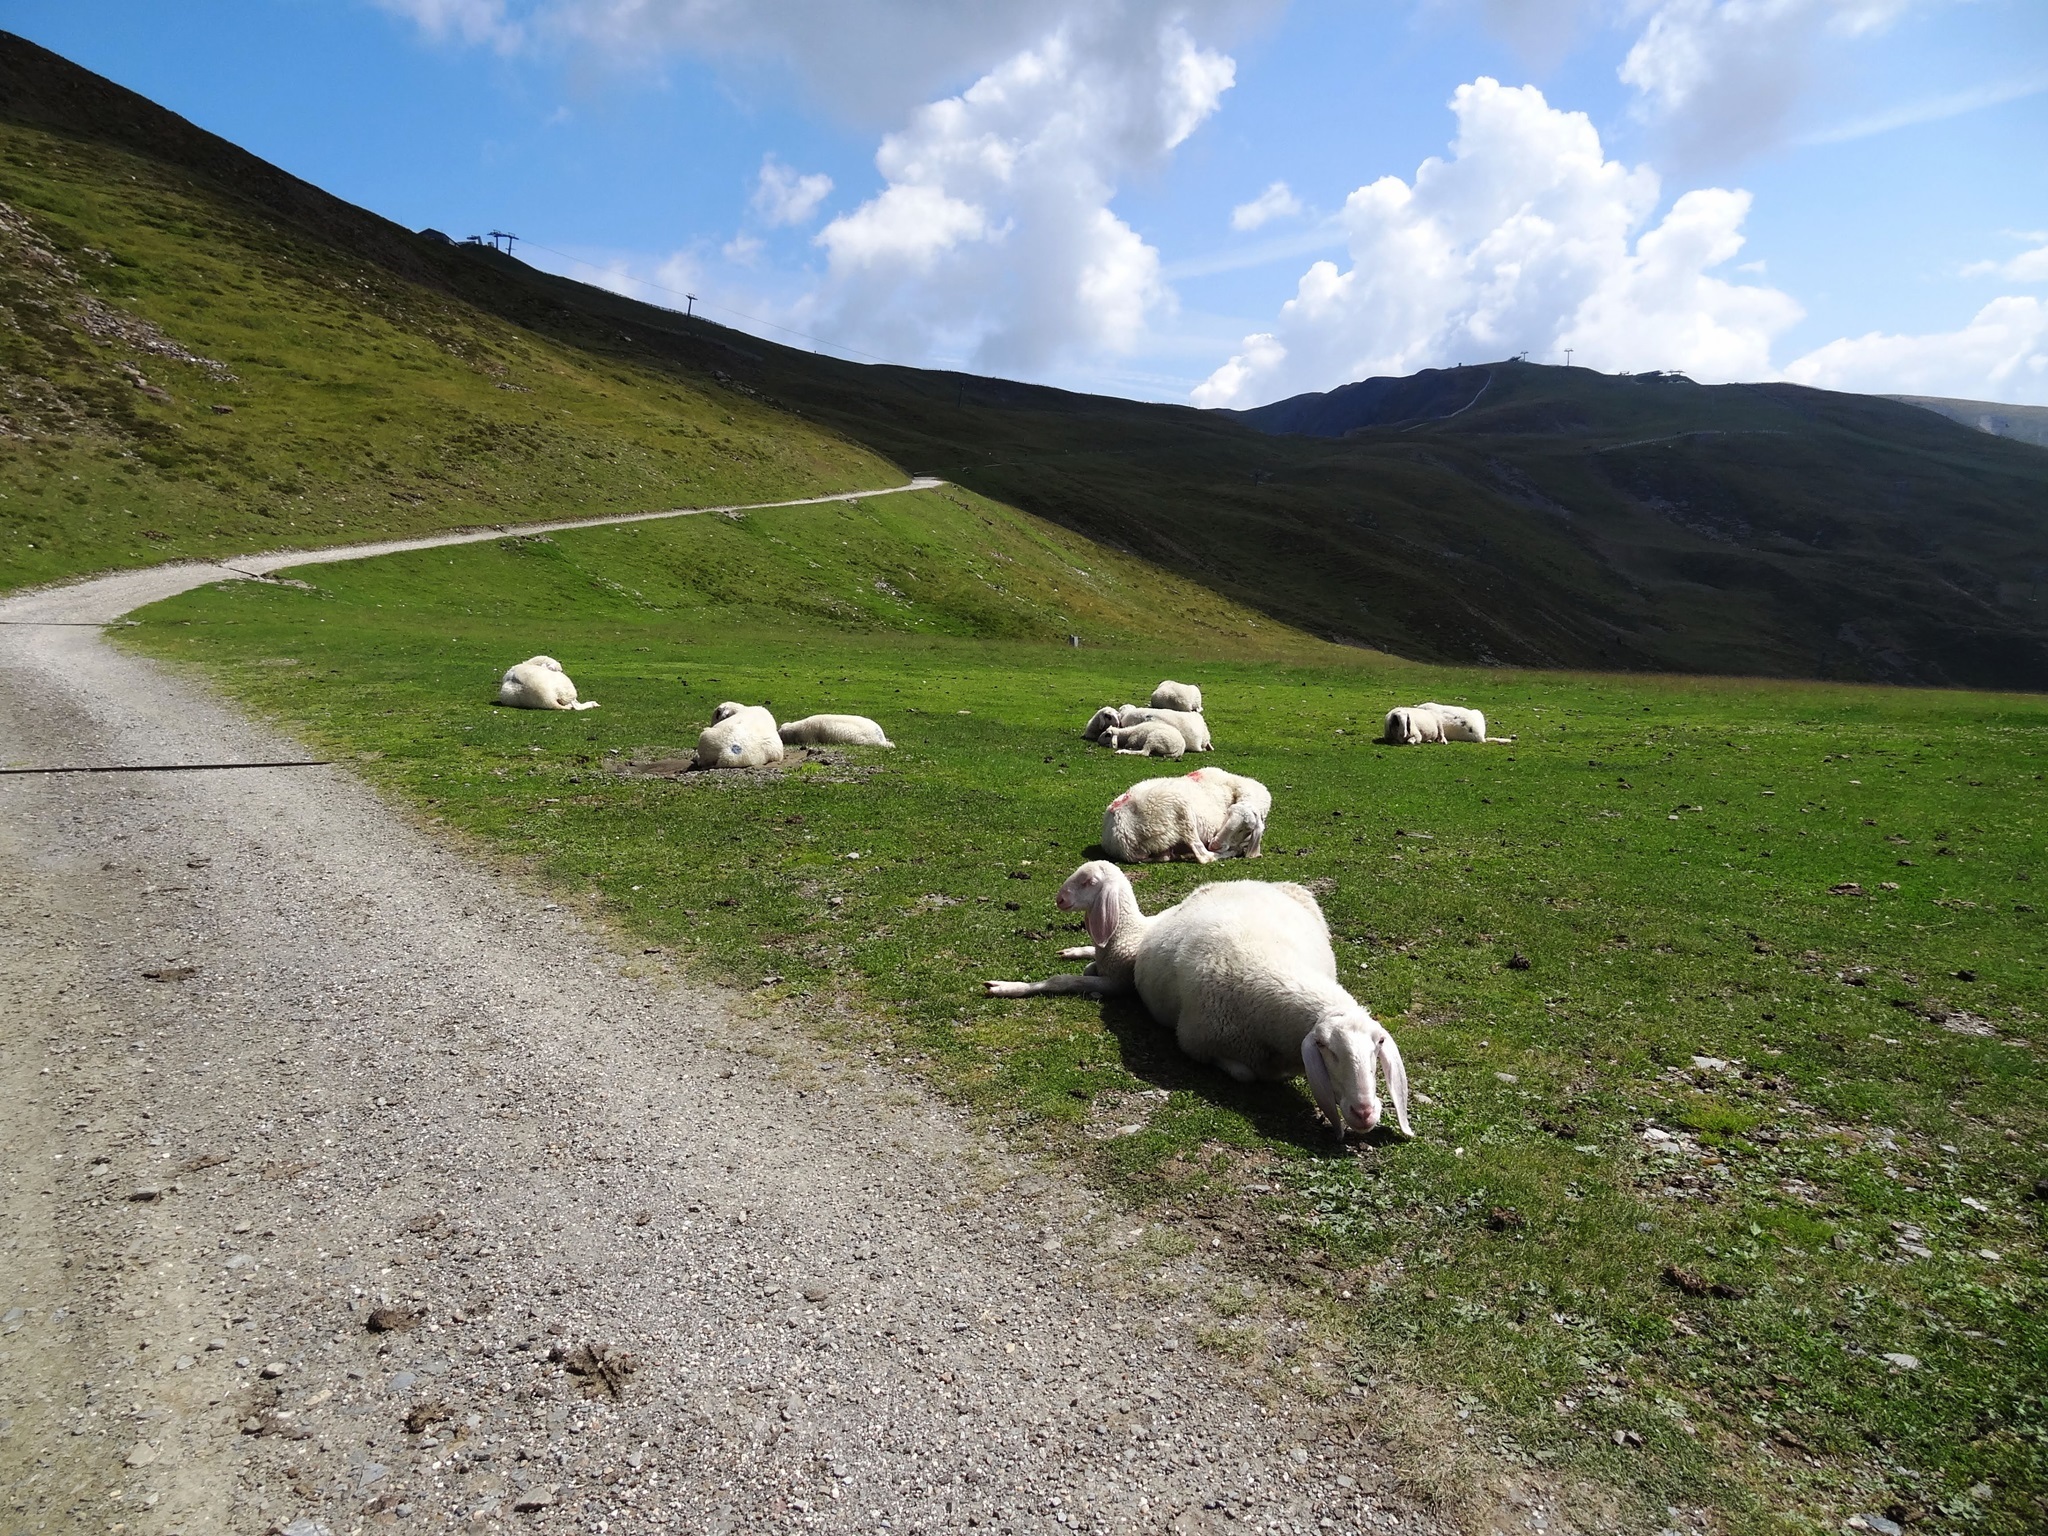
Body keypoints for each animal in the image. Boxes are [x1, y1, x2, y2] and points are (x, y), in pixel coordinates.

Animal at [983, 862, 1413, 1139]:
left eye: (1378, 1047)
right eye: (1326, 1048)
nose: (1364, 1113)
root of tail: (1259, 880)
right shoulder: (1192, 1039)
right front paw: (1013, 984)